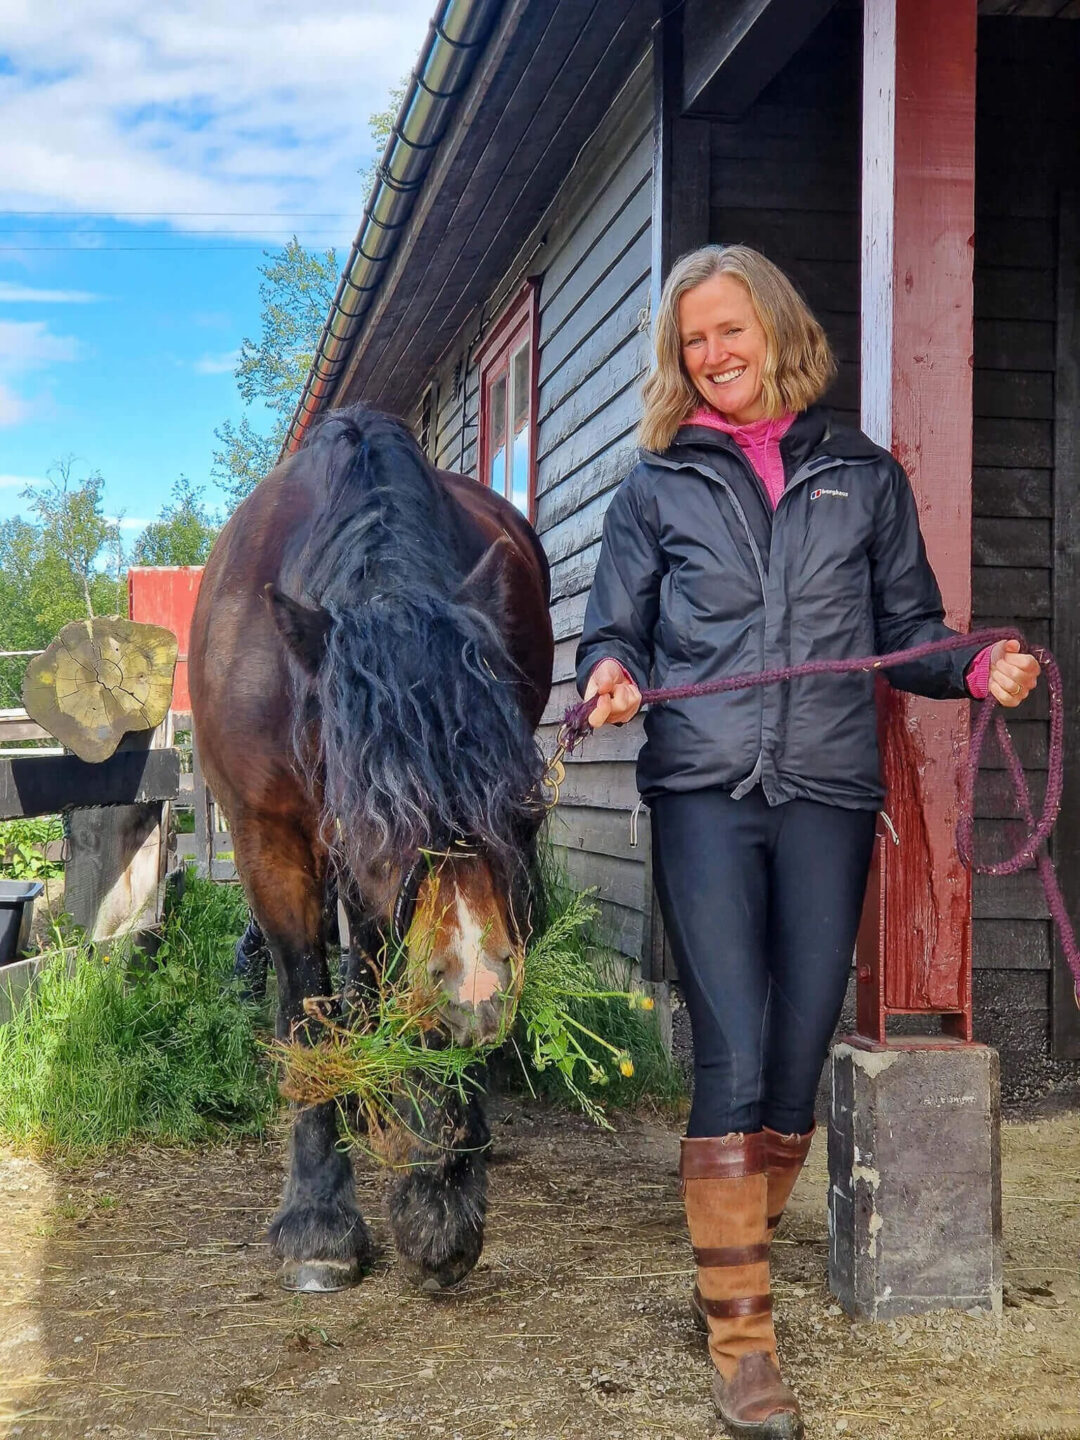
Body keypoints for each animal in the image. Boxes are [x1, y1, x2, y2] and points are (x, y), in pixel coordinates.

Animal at [188, 403, 553, 1293]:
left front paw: (441, 1193)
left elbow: (402, 1000)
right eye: (373, 821)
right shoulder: (273, 843)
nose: (479, 991)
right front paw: (319, 1216)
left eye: (523, 813)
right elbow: (309, 1009)